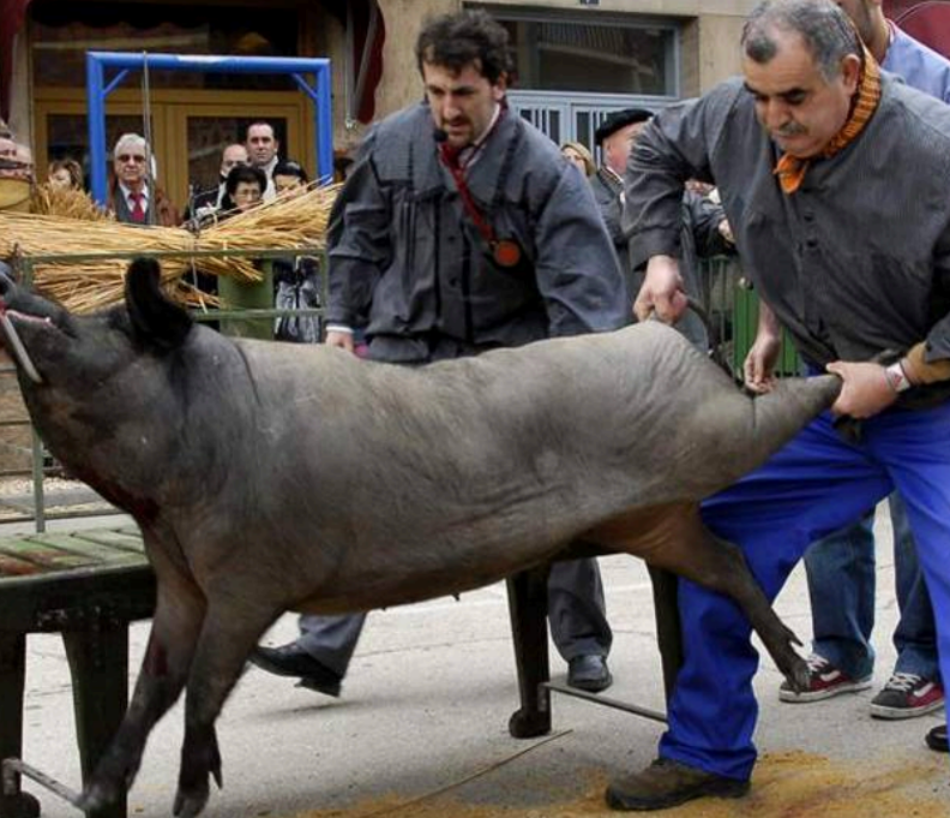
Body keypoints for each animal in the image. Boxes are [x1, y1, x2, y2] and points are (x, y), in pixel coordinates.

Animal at [0, 260, 844, 816]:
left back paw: (835, 377)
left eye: (108, 325)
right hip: (657, 518)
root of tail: (663, 335)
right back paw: (800, 674)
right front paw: (94, 794)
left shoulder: (252, 578)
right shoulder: (180, 579)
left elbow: (205, 688)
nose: (13, 283)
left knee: (768, 417)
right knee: (730, 563)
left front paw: (186, 801)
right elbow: (152, 687)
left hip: (713, 431)